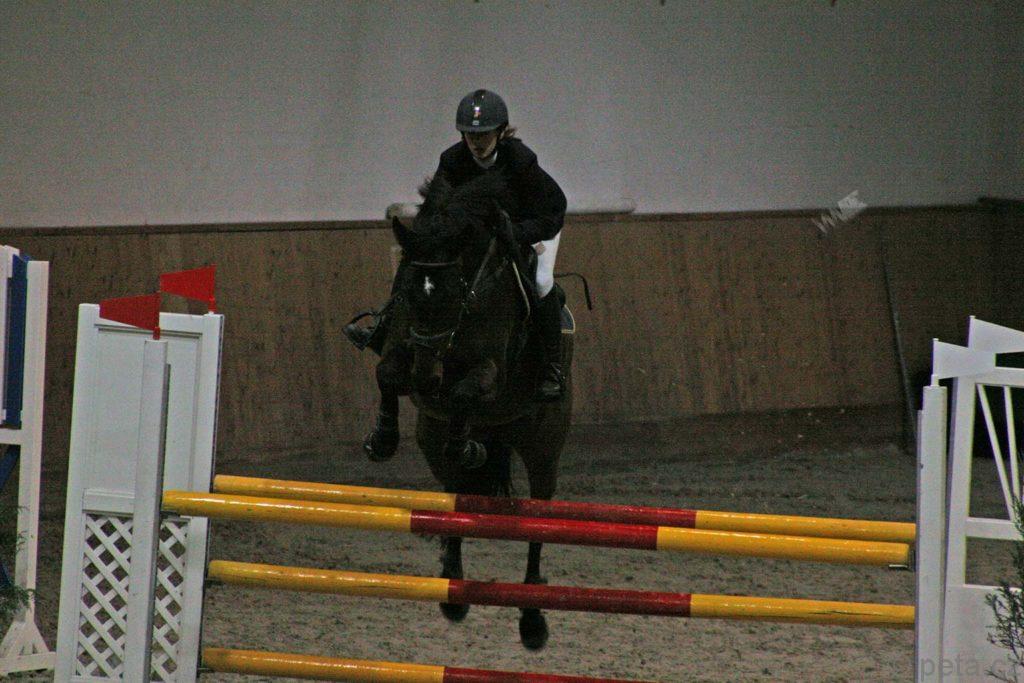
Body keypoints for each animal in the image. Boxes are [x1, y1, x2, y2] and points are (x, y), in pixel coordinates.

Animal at [370, 172, 573, 649]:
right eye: (410, 290)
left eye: (453, 292)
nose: (427, 380)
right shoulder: (402, 344)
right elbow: (387, 374)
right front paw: (383, 438)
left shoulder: (489, 370)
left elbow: (465, 393)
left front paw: (466, 446)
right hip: (431, 440)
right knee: (455, 502)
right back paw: (453, 592)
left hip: (543, 447)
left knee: (537, 524)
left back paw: (532, 621)